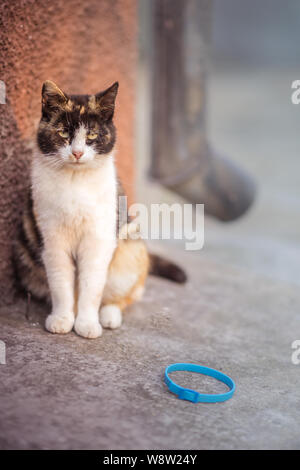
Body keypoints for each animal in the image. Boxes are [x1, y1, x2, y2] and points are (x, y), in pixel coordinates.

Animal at [15, 81, 186, 338]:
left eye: (92, 134)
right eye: (63, 133)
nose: (77, 153)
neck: (75, 181)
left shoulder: (99, 239)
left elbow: (91, 287)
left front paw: (86, 324)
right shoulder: (52, 240)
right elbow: (61, 284)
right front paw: (62, 320)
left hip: (129, 252)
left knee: (124, 296)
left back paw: (109, 316)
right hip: (25, 261)